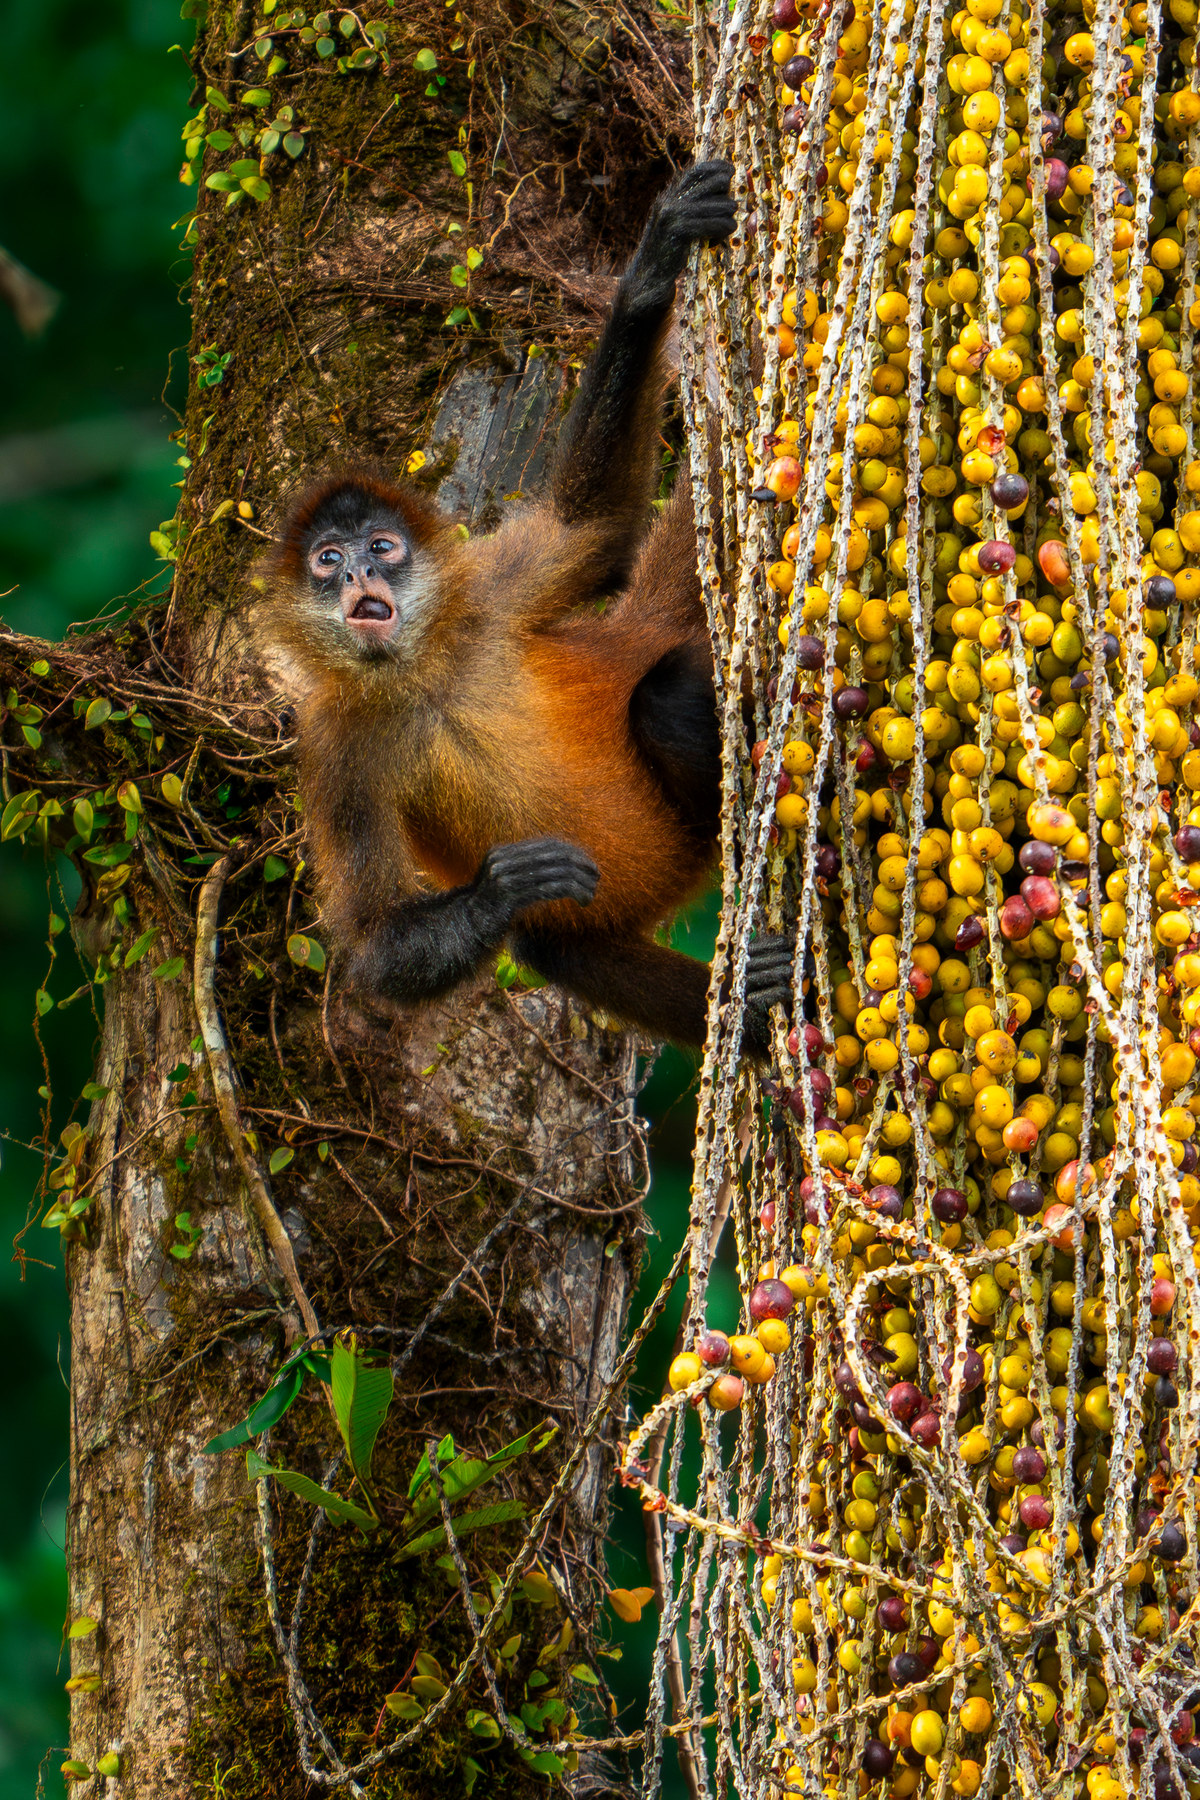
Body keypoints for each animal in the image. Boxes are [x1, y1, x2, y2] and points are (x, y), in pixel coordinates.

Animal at [257, 160, 795, 1054]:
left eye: (383, 546)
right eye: (327, 561)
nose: (359, 574)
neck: (422, 676)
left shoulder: (486, 595)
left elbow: (597, 529)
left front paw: (651, 271)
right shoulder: (333, 743)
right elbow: (373, 947)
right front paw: (499, 889)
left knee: (667, 696)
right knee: (556, 944)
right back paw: (747, 1002)